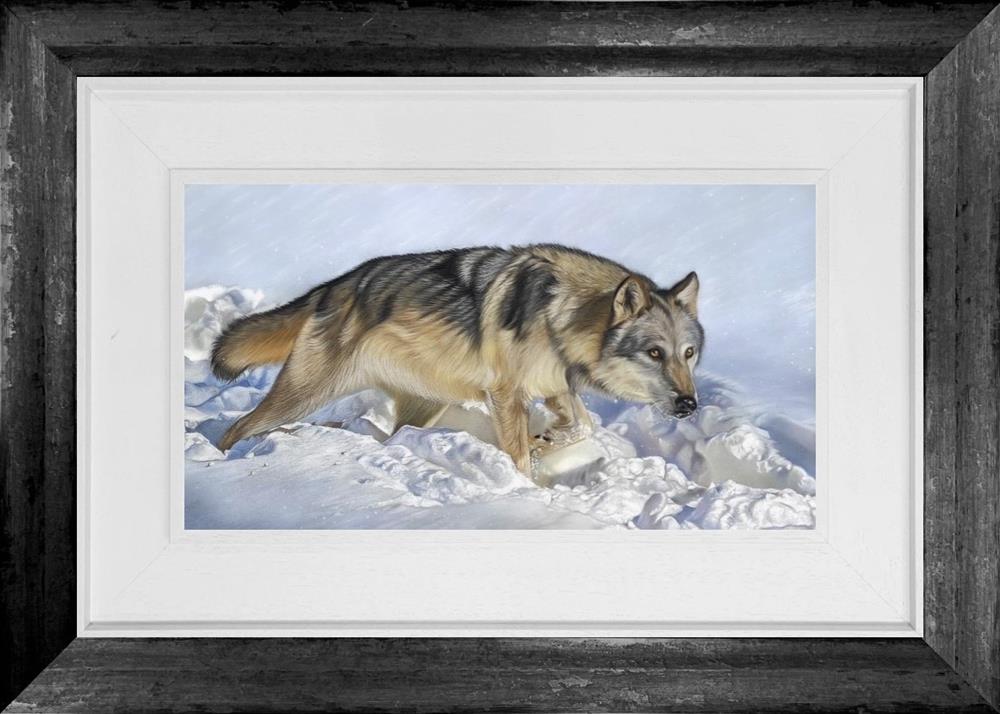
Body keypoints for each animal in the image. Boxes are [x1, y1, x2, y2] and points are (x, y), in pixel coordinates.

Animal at [211, 244, 703, 474]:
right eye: (654, 353)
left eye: (689, 353)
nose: (689, 404)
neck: (562, 314)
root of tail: (333, 286)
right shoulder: (506, 394)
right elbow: (519, 456)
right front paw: (527, 484)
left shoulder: (555, 386)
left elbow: (583, 426)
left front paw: (545, 443)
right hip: (305, 393)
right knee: (237, 427)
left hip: (424, 407)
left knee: (394, 435)